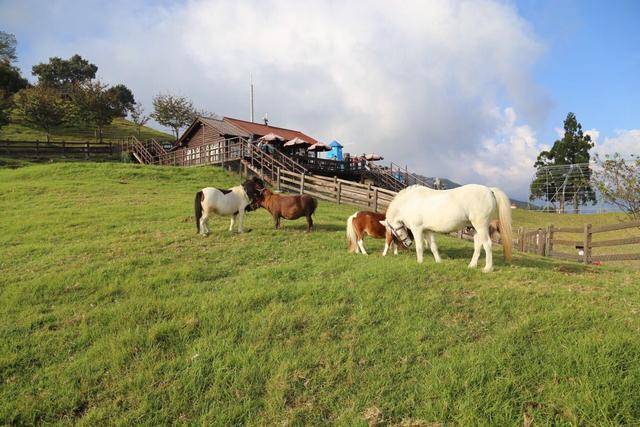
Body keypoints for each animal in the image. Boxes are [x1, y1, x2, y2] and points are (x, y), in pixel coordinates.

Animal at [382, 183, 512, 270]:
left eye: (392, 229)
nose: (408, 243)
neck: (409, 202)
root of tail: (490, 190)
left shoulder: (417, 229)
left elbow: (420, 247)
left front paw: (420, 262)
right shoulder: (428, 231)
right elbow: (433, 247)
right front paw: (438, 261)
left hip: (481, 226)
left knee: (487, 244)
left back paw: (487, 268)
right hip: (476, 229)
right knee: (478, 245)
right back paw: (472, 265)